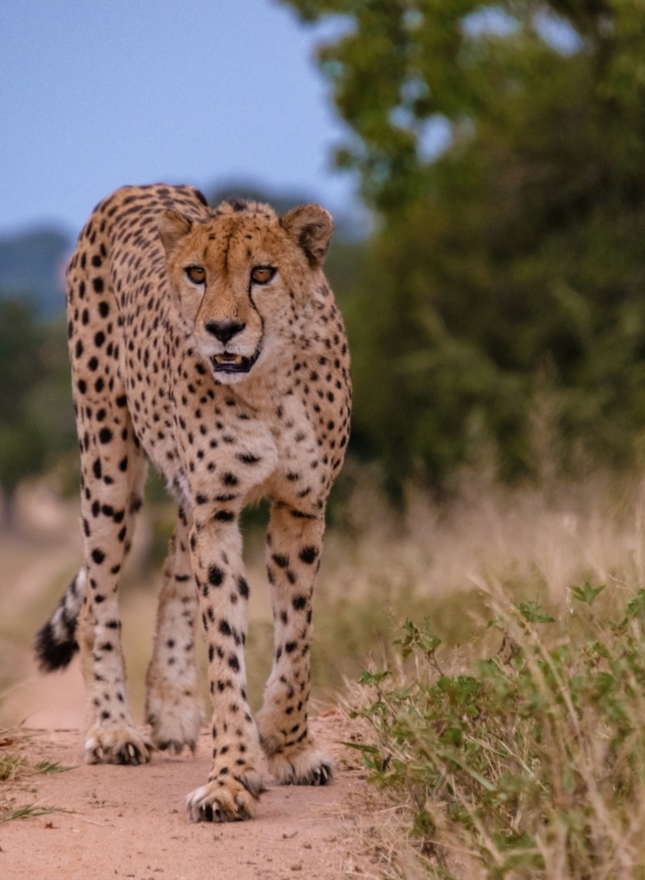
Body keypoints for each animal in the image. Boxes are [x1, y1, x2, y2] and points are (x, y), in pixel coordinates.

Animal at [34, 183, 351, 823]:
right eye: (197, 273)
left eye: (263, 273)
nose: (223, 329)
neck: (268, 383)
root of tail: (133, 189)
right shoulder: (218, 509)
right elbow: (225, 648)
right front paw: (231, 777)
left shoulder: (300, 507)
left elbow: (297, 636)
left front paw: (288, 743)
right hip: (107, 458)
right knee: (100, 594)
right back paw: (112, 728)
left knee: (174, 566)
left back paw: (173, 704)